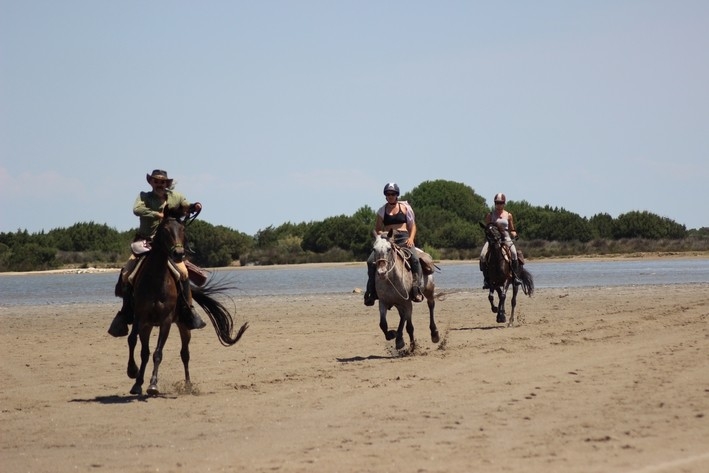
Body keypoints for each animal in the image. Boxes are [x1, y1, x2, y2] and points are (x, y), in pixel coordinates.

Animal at [126, 208, 248, 396]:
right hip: (148, 326)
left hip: (184, 326)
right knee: (144, 352)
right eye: (165, 230)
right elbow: (133, 341)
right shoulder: (141, 317)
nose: (178, 254)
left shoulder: (166, 321)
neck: (155, 280)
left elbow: (158, 353)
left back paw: (188, 385)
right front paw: (133, 372)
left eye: (183, 230)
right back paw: (138, 383)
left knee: (185, 353)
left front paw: (153, 385)